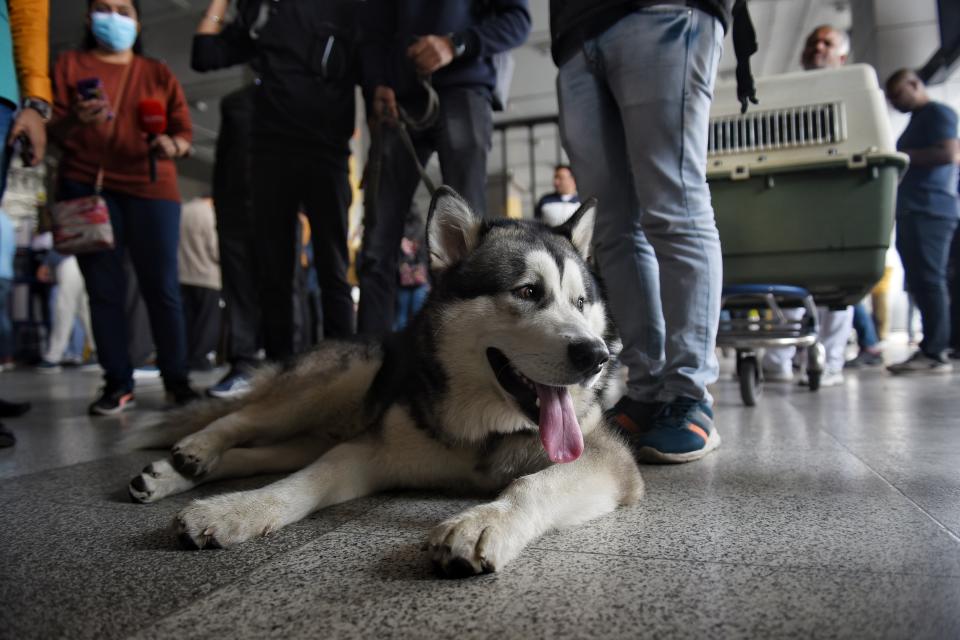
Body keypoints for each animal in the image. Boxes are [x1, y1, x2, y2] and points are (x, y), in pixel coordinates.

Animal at [125, 188, 636, 576]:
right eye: (528, 291)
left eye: (581, 301)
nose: (596, 355)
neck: (485, 429)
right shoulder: (372, 451)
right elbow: (302, 481)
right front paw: (238, 510)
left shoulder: (606, 460)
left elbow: (533, 483)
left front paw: (485, 522)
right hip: (342, 378)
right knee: (245, 419)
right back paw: (195, 451)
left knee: (266, 451)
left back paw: (173, 473)